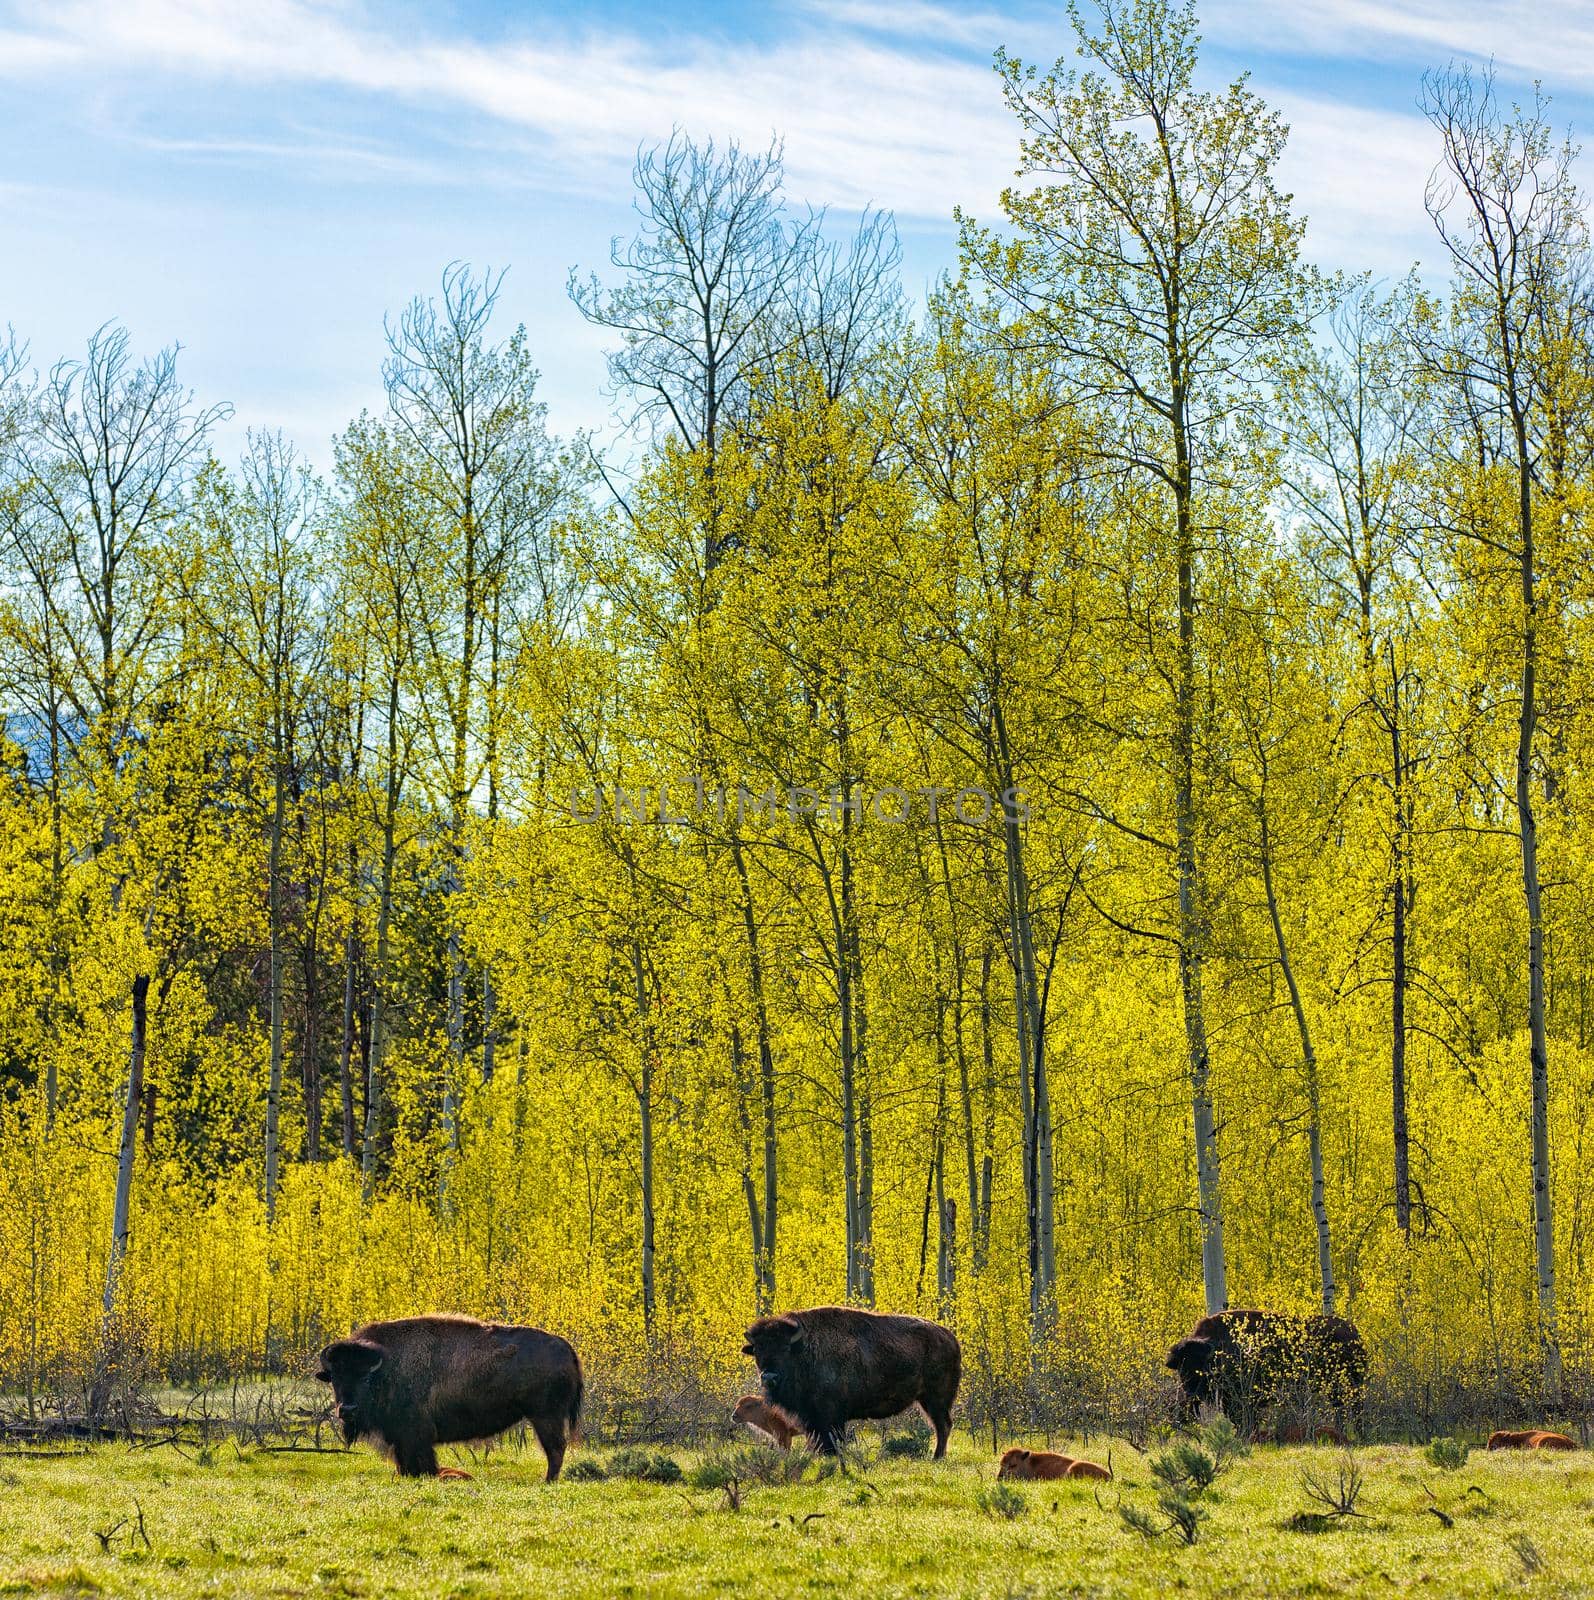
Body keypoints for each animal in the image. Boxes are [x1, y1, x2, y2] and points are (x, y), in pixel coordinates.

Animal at [313, 1318, 582, 1478]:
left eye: (365, 1378)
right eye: (334, 1378)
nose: (347, 1409)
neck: (387, 1368)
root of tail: (566, 1348)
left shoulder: (414, 1435)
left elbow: (421, 1461)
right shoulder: (401, 1438)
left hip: (545, 1417)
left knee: (555, 1448)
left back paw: (547, 1481)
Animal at [739, 1305, 960, 1459]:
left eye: (785, 1348)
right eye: (757, 1350)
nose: (769, 1377)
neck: (803, 1350)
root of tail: (949, 1337)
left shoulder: (830, 1415)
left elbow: (831, 1438)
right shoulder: (811, 1417)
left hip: (936, 1399)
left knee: (943, 1425)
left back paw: (937, 1457)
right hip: (927, 1400)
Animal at [1158, 1305, 1369, 1433]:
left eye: (1199, 1366)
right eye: (1181, 1368)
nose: (1189, 1394)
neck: (1218, 1348)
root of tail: (1354, 1333)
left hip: (1349, 1385)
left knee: (1353, 1408)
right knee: (1341, 1408)